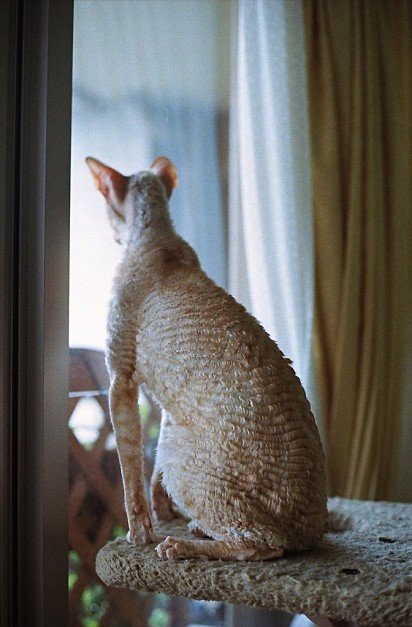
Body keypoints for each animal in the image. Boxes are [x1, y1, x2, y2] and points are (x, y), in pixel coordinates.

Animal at [87, 155, 328, 560]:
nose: (112, 232)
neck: (157, 237)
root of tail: (311, 532)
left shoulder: (120, 379)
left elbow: (130, 473)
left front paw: (139, 533)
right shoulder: (169, 408)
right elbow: (152, 474)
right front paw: (164, 513)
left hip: (180, 454)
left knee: (264, 545)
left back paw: (180, 545)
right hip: (177, 439)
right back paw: (195, 529)